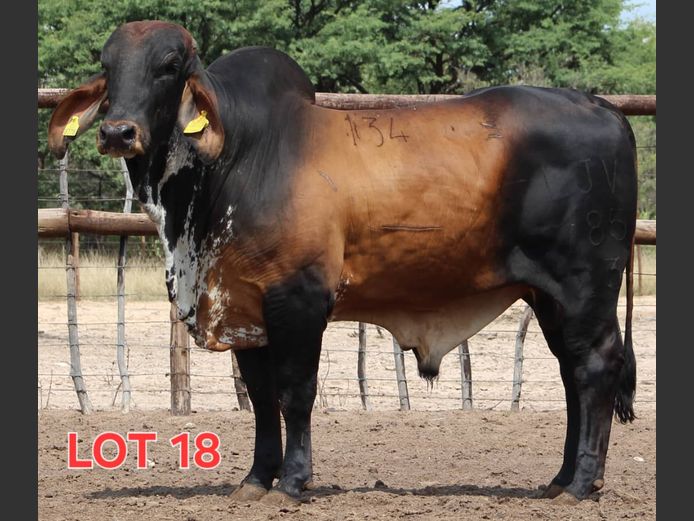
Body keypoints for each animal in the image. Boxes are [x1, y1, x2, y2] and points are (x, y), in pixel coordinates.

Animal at [48, 21, 637, 505]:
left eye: (169, 65)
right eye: (107, 65)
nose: (118, 132)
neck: (234, 160)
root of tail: (600, 106)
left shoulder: (298, 299)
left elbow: (294, 392)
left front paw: (292, 482)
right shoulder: (245, 307)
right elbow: (261, 398)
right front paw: (255, 480)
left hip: (583, 289)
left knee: (595, 369)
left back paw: (581, 484)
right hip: (549, 299)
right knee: (571, 376)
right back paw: (561, 479)